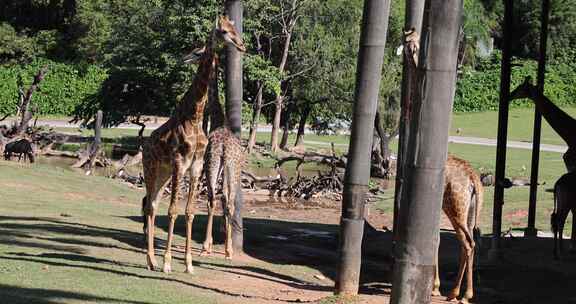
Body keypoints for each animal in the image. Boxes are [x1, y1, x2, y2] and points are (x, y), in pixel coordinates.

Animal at [143, 15, 246, 274]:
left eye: (233, 30)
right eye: (223, 31)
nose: (242, 45)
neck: (196, 114)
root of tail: (144, 144)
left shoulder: (196, 166)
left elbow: (189, 212)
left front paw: (189, 263)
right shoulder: (180, 163)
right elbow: (173, 211)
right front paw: (168, 263)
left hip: (164, 173)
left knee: (153, 203)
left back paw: (152, 260)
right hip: (152, 169)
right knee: (150, 206)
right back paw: (152, 260)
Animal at [434, 156, 484, 302]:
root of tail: (473, 179)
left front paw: (435, 288)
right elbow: (436, 239)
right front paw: (435, 288)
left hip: (455, 212)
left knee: (468, 243)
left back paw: (463, 296)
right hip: (471, 213)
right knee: (469, 244)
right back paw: (456, 293)